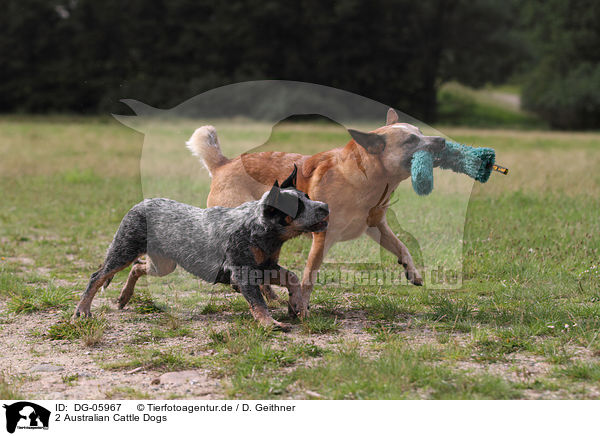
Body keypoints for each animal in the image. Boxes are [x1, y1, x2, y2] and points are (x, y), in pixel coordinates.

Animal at [74, 167, 332, 330]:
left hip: (164, 265)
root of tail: (139, 204)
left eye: (308, 196)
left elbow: (293, 277)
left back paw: (123, 298)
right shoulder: (243, 272)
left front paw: (299, 307)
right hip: (124, 248)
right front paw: (271, 324)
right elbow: (258, 302)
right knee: (97, 276)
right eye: (298, 206)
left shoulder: (265, 265)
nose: (325, 206)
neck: (262, 231)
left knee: (138, 267)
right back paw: (82, 312)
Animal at [188, 107, 446, 316]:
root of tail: (223, 164)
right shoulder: (323, 237)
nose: (442, 140)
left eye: (420, 131)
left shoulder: (376, 226)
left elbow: (401, 246)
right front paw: (300, 307)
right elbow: (309, 277)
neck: (367, 177)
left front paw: (412, 272)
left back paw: (271, 298)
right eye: (411, 140)